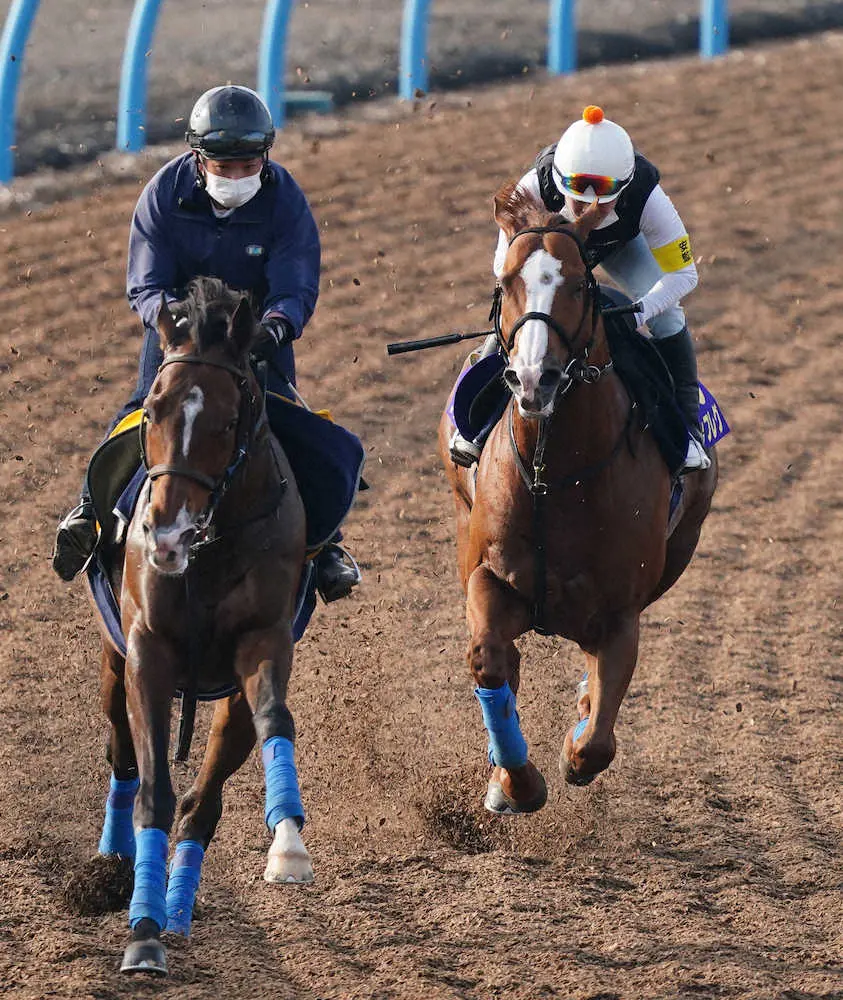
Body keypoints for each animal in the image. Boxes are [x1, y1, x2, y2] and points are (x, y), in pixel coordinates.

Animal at [90, 278, 314, 972]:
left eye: (225, 421)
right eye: (154, 411)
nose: (164, 536)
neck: (209, 547)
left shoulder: (264, 639)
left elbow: (274, 721)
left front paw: (288, 845)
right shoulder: (148, 651)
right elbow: (153, 789)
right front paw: (141, 933)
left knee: (203, 804)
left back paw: (178, 908)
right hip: (114, 661)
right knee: (122, 752)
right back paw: (115, 864)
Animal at [438, 186, 724, 812]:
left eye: (576, 284)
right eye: (508, 280)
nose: (533, 379)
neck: (555, 474)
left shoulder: (619, 613)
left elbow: (595, 744)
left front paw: (574, 739)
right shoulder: (488, 576)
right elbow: (489, 663)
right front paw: (514, 783)